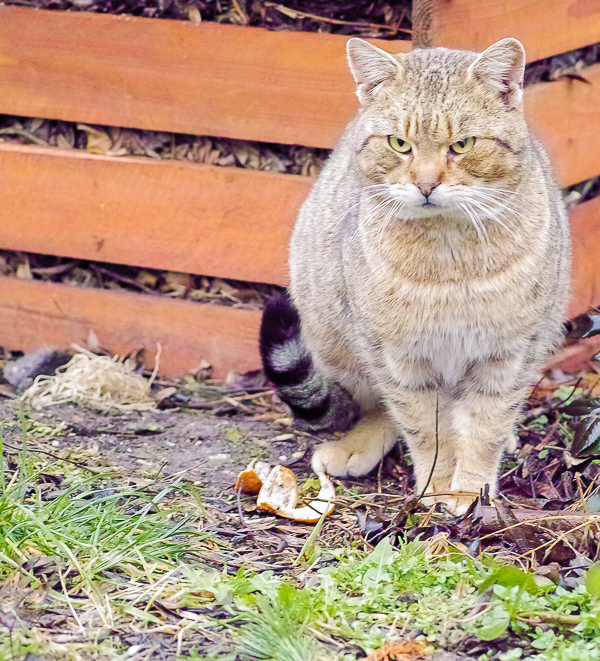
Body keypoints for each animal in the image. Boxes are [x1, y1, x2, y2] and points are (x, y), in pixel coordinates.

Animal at [260, 37, 571, 514]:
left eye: (462, 144)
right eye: (399, 143)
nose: (426, 184)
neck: (449, 259)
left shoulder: (509, 354)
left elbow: (484, 427)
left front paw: (470, 489)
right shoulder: (398, 357)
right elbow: (425, 427)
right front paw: (438, 485)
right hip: (331, 334)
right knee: (380, 406)